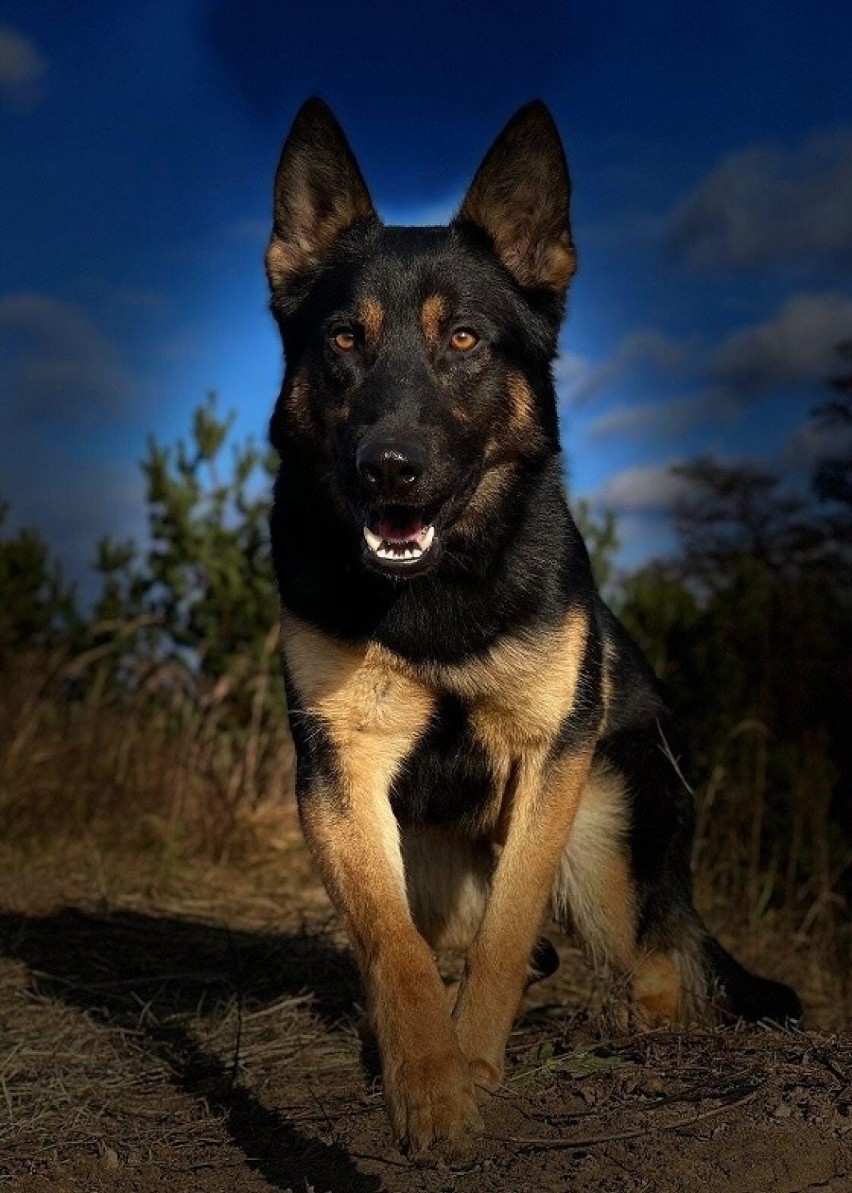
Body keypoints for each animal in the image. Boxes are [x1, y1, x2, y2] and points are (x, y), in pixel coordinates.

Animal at [262, 97, 801, 1150]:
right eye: (343, 340)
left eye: (466, 340)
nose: (390, 467)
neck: (436, 593)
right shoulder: (342, 772)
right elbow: (392, 944)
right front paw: (427, 1085)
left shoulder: (549, 756)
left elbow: (509, 933)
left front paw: (470, 1068)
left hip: (604, 838)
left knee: (657, 966)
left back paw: (638, 1028)